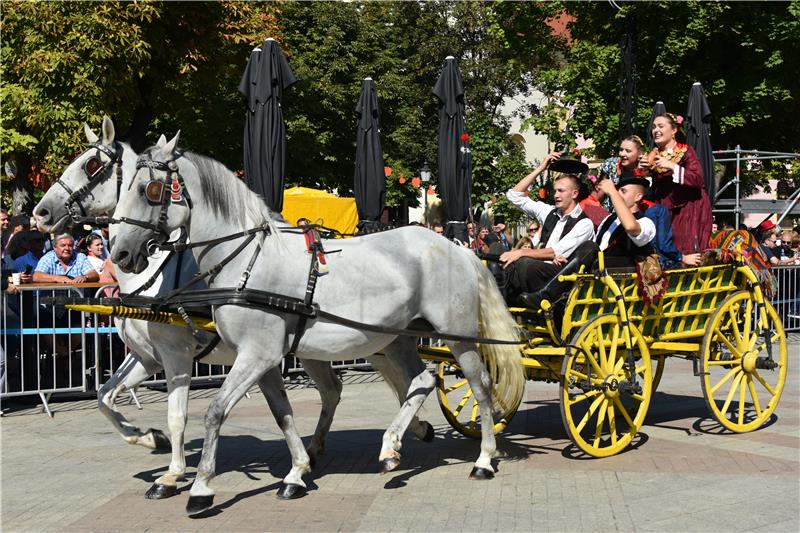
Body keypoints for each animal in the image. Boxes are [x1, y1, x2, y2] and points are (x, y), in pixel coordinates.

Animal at [32, 115, 438, 498]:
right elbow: (105, 397)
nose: (41, 213)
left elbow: (178, 414)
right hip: (355, 344)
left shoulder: (177, 353)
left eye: (91, 165)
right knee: (356, 387)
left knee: (395, 383)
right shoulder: (147, 357)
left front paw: (174, 472)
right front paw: (149, 439)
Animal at [111, 132, 524, 516]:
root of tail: (460, 249)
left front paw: (200, 488)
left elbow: (215, 412)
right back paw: (391, 447)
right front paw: (296, 473)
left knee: (480, 386)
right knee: (420, 381)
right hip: (398, 338)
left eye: (149, 189)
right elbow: (282, 413)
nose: (121, 253)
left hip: (460, 337)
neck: (245, 260)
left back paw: (483, 459)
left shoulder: (255, 355)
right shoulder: (262, 359)